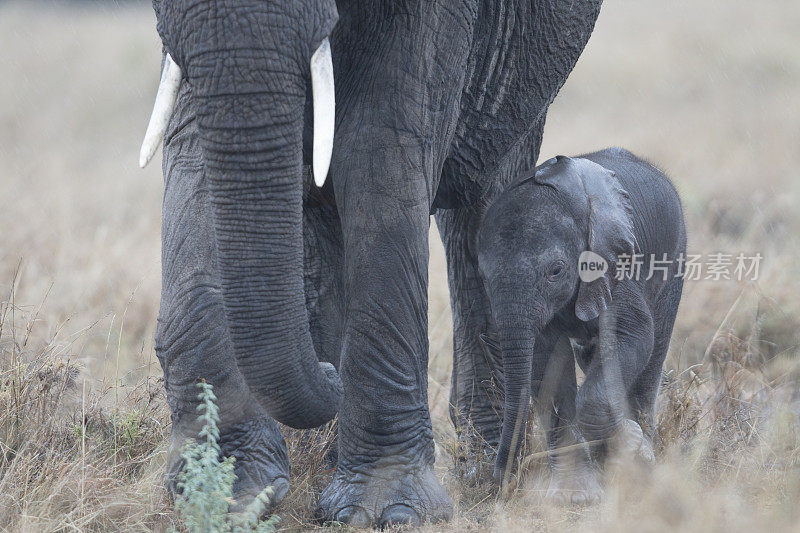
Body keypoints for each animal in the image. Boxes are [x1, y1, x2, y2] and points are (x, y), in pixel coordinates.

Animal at [141, 0, 600, 524]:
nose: (328, 372)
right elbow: (190, 150)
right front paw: (230, 495)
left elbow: (378, 149)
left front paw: (383, 513)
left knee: (483, 199)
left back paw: (489, 475)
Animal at [478, 147, 684, 502]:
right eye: (484, 278)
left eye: (556, 271)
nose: (502, 481)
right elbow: (548, 364)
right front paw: (574, 497)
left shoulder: (614, 262)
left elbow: (634, 335)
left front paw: (627, 443)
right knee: (591, 357)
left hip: (674, 259)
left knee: (654, 350)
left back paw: (643, 450)